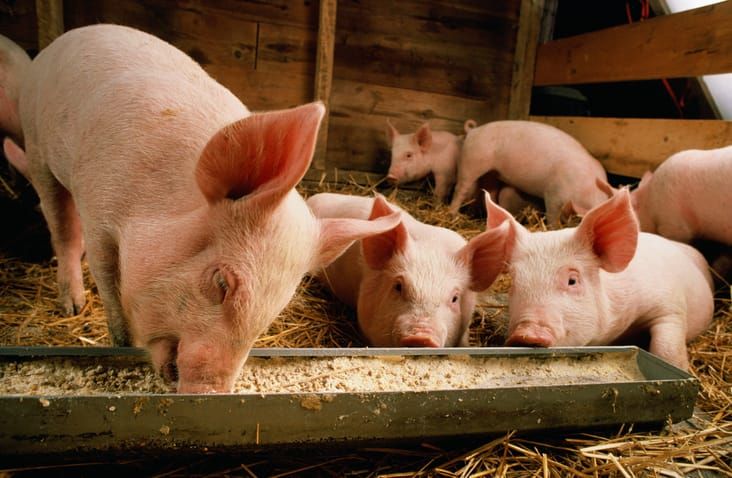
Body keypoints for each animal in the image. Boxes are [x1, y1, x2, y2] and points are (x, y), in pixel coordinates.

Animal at [5, 25, 401, 393]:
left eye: (275, 308)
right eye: (222, 283)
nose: (211, 391)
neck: (149, 204)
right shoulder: (97, 205)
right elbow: (106, 278)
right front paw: (120, 342)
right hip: (37, 145)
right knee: (61, 225)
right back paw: (72, 306)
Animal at [448, 120, 610, 226]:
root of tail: (473, 131)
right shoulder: (553, 194)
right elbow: (552, 218)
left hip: (492, 173)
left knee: (490, 192)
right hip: (471, 161)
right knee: (460, 188)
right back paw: (453, 214)